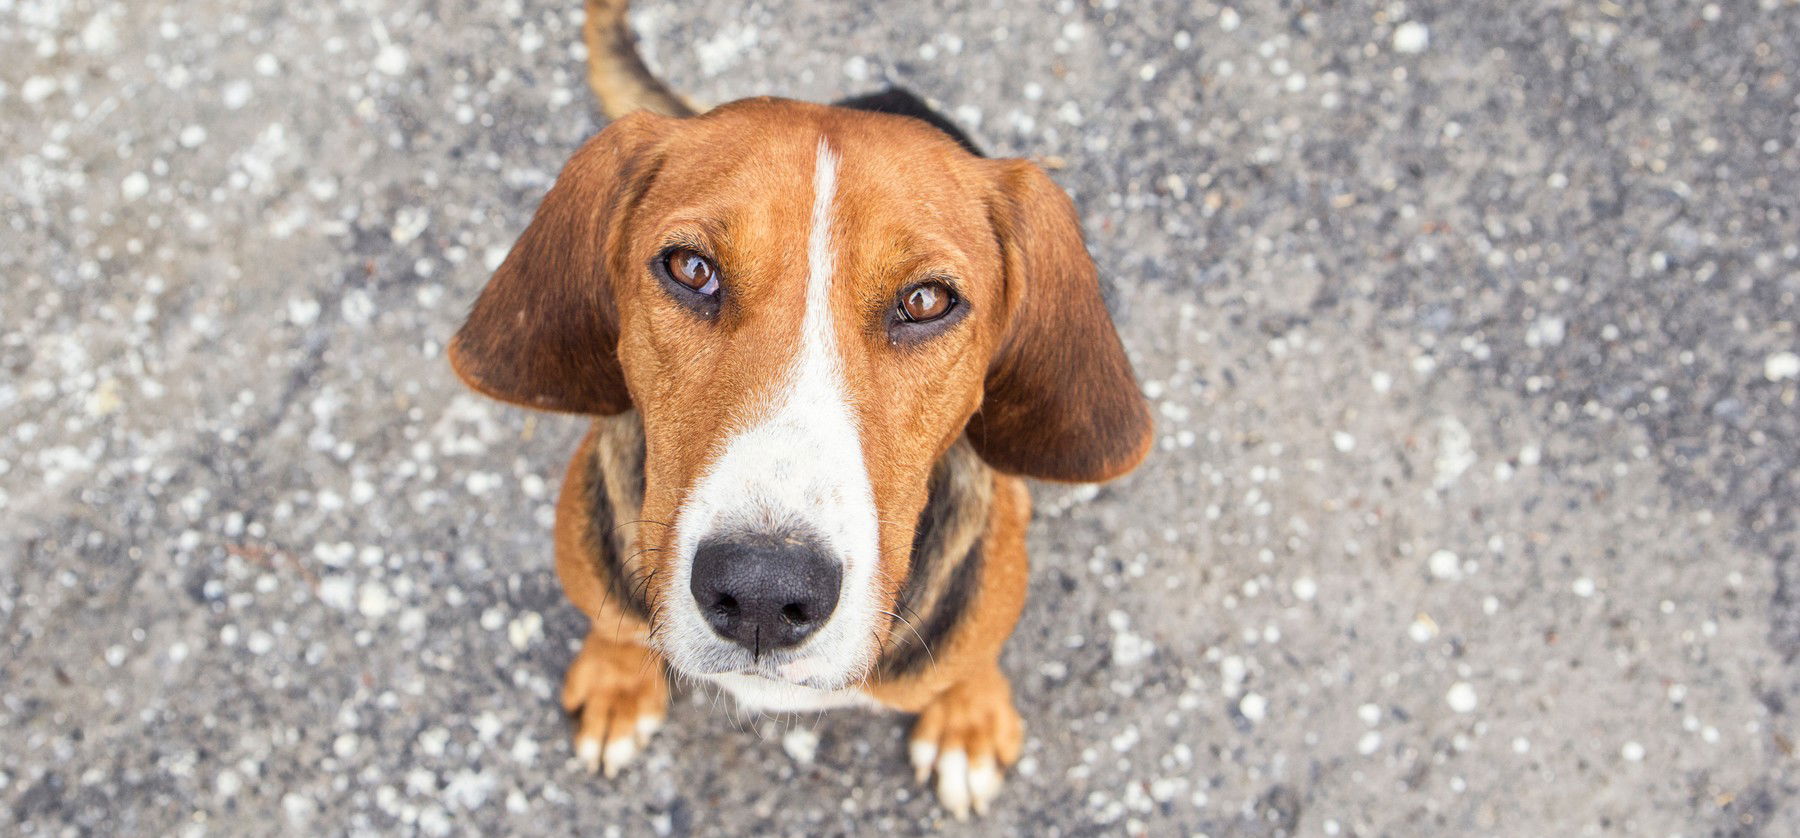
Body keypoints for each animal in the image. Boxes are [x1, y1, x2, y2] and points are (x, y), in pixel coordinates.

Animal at [450, 0, 1152, 820]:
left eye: (926, 300)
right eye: (690, 268)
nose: (762, 590)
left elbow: (969, 660)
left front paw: (968, 719)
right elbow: (615, 624)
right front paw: (619, 677)